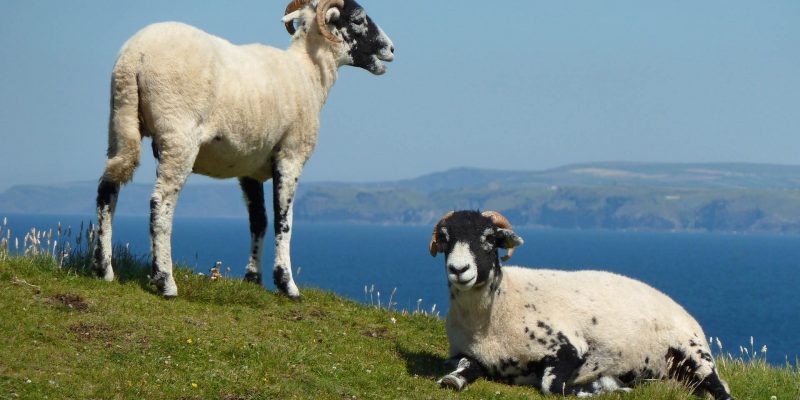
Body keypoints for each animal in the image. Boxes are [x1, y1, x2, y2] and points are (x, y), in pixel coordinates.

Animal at [92, 0, 394, 299]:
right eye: (358, 20)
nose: (392, 49)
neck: (308, 73)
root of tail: (135, 55)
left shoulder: (249, 167)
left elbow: (258, 221)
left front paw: (253, 279)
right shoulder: (291, 156)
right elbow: (284, 221)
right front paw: (287, 284)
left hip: (120, 120)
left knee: (108, 188)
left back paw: (104, 269)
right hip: (177, 136)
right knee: (160, 202)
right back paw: (165, 281)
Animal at [429, 210, 734, 399]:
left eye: (489, 239)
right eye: (445, 240)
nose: (459, 269)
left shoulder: (567, 346)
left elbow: (552, 386)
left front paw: (599, 391)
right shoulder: (468, 354)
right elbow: (458, 374)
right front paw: (452, 380)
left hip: (695, 352)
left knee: (722, 390)